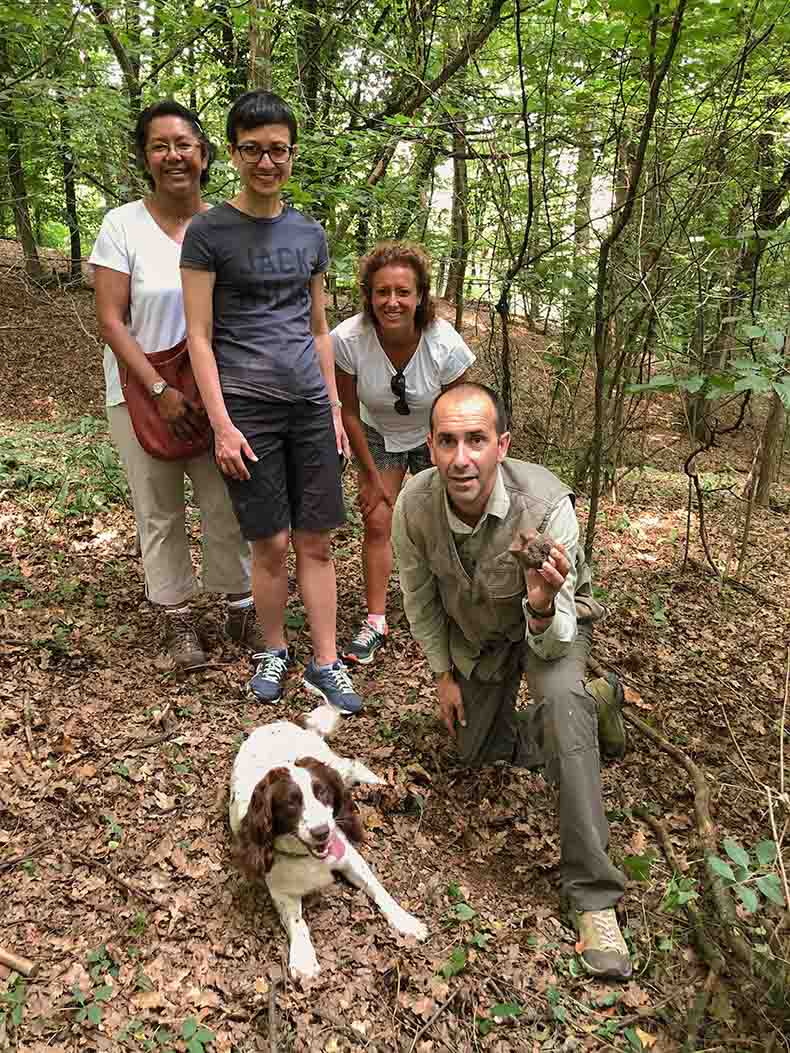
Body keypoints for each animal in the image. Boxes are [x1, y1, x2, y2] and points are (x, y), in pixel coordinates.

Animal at [228, 707, 429, 977]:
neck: (308, 856)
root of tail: (273, 725)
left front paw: (405, 921)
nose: (322, 832)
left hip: (332, 763)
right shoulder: (280, 889)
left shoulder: (349, 857)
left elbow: (378, 889)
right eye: (290, 804)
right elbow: (298, 923)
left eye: (322, 792)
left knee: (352, 764)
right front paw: (303, 959)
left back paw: (380, 783)